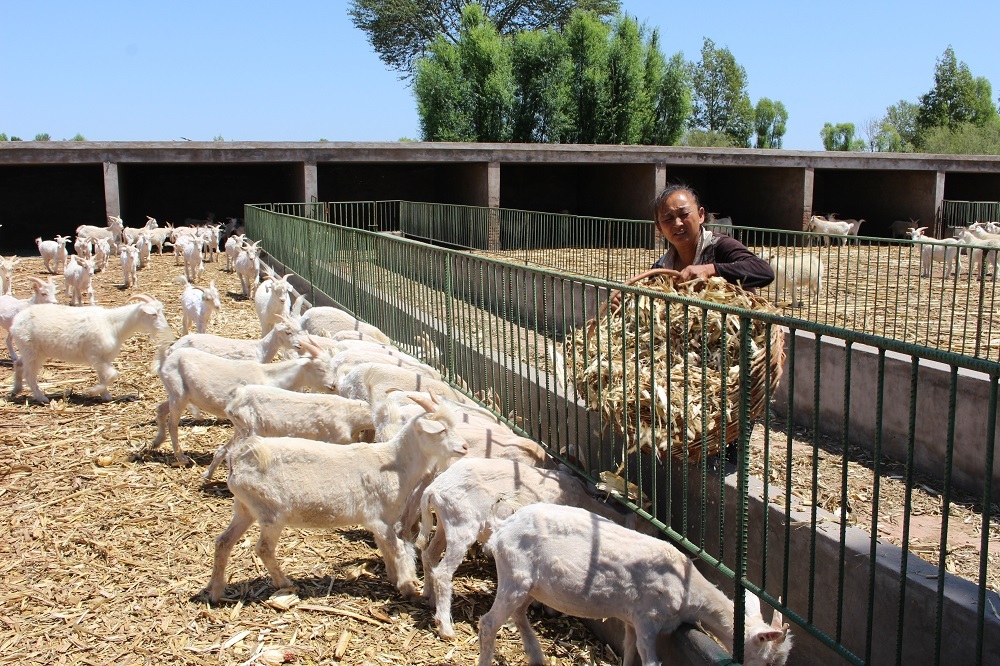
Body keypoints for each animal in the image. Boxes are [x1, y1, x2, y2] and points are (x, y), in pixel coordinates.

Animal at [8, 294, 169, 400]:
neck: (113, 324)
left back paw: (16, 389)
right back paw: (41, 398)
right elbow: (113, 374)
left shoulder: (104, 358)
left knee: (19, 364)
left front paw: (105, 395)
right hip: (32, 351)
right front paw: (93, 391)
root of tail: (15, 322)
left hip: (31, 351)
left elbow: (104, 376)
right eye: (153, 315)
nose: (165, 329)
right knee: (29, 375)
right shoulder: (95, 355)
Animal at [146, 342, 338, 462]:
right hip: (178, 394)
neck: (270, 376)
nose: (334, 385)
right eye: (320, 368)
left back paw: (156, 442)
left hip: (179, 395)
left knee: (160, 409)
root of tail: (165, 361)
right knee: (172, 423)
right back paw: (181, 457)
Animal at [205, 400, 470, 600]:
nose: (465, 447)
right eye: (441, 430)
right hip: (271, 512)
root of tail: (238, 460)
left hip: (245, 507)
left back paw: (216, 591)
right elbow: (396, 548)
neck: (394, 462)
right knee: (263, 548)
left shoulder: (381, 521)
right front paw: (408, 586)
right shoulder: (377, 517)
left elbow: (386, 548)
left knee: (223, 542)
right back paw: (284, 583)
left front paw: (395, 580)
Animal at [418, 456, 636, 640]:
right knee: (443, 572)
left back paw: (429, 596)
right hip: (462, 525)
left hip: (446, 523)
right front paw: (548, 608)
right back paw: (446, 627)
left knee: (429, 554)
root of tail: (433, 490)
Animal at [480, 504, 792, 664]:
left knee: (518, 614)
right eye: (770, 661)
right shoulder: (647, 619)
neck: (689, 594)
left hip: (529, 585)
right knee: (488, 622)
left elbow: (629, 653)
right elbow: (650, 661)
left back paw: (536, 656)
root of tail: (500, 528)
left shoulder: (631, 621)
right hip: (514, 574)